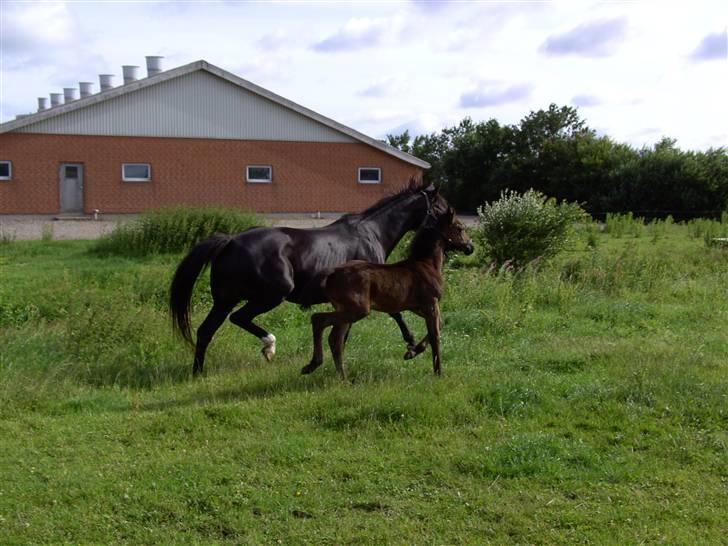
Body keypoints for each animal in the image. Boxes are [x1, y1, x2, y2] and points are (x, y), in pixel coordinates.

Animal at [300, 207, 472, 378]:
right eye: (460, 228)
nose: (470, 247)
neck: (427, 264)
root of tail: (332, 273)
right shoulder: (431, 303)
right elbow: (435, 335)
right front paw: (438, 373)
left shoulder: (416, 307)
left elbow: (438, 326)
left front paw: (411, 352)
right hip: (357, 310)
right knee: (319, 320)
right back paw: (313, 365)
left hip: (345, 310)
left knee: (335, 339)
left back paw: (340, 377)